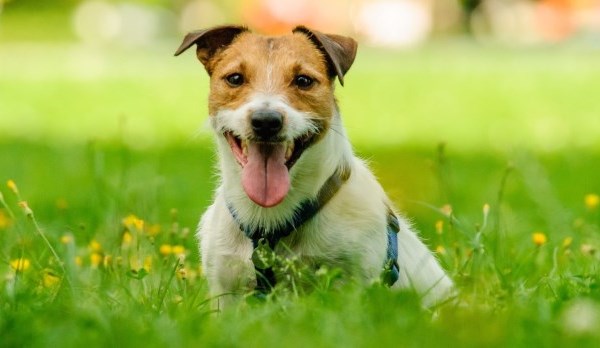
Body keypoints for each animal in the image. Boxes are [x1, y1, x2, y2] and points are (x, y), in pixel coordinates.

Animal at [176, 25, 452, 308]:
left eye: (304, 80)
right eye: (234, 78)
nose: (266, 122)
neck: (269, 220)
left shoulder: (353, 283)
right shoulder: (225, 288)